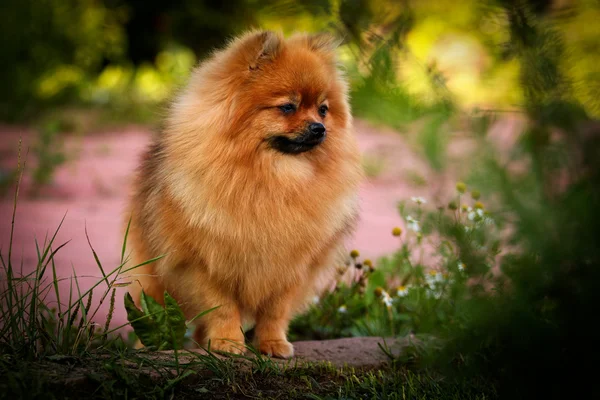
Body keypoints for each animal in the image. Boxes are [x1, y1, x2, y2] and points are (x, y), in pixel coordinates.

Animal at [126, 29, 360, 358]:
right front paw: (227, 342)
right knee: (149, 308)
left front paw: (272, 344)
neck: (273, 178)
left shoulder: (290, 268)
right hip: (152, 272)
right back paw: (147, 348)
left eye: (323, 109)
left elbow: (275, 312)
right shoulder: (203, 265)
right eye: (287, 107)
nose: (319, 128)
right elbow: (222, 307)